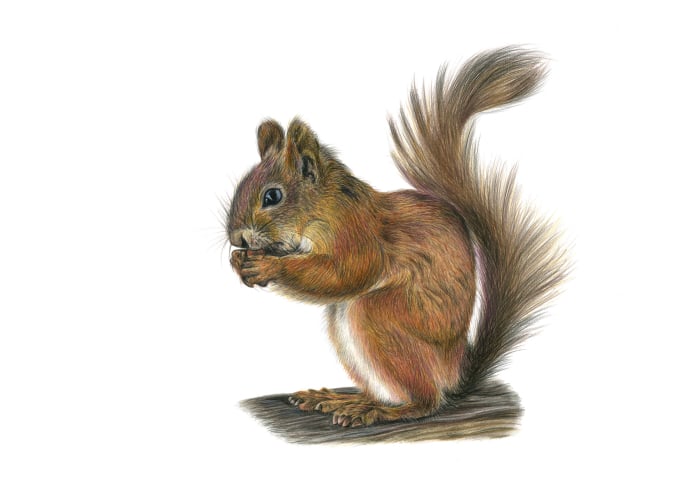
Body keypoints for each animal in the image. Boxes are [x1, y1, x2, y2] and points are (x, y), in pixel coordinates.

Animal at [226, 47, 568, 429]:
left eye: (272, 196)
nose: (236, 237)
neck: (324, 206)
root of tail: (455, 374)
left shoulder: (357, 232)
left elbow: (347, 273)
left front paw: (267, 266)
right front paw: (239, 261)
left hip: (381, 317)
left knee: (425, 401)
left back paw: (379, 411)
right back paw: (342, 399)